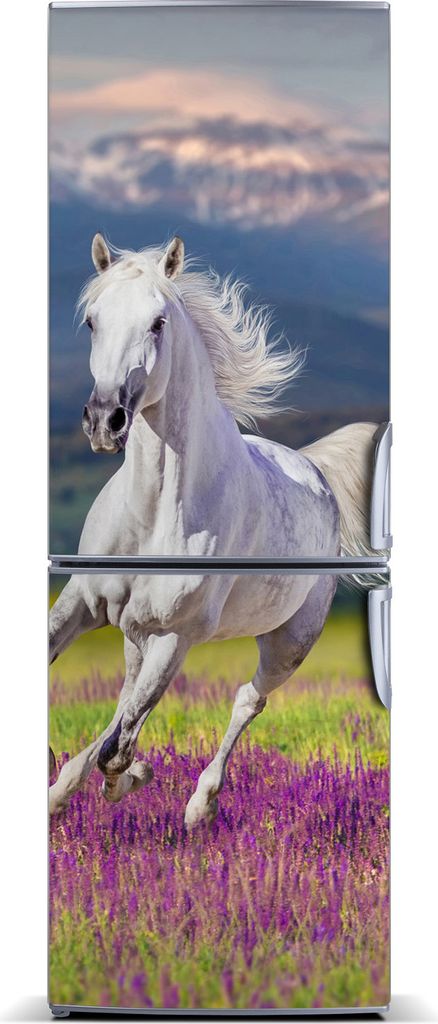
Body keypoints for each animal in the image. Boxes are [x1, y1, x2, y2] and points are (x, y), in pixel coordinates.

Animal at [49, 233, 379, 826]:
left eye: (158, 322)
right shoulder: (82, 601)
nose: (104, 420)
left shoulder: (175, 636)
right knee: (126, 697)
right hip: (136, 633)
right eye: (91, 320)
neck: (155, 511)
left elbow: (120, 744)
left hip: (288, 643)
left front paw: (132, 778)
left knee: (246, 699)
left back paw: (199, 804)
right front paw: (83, 784)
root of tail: (315, 469)